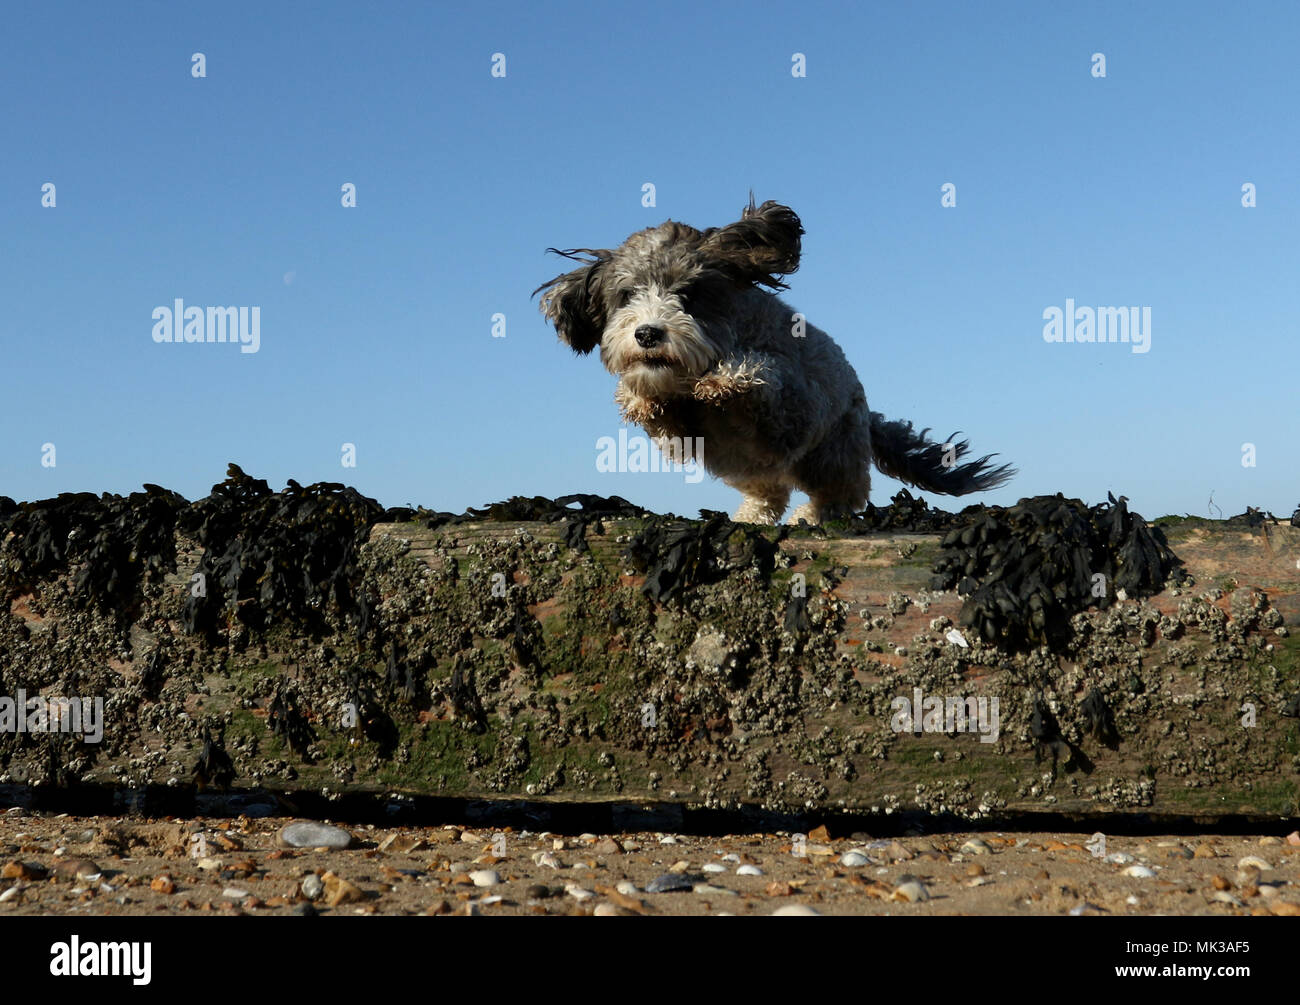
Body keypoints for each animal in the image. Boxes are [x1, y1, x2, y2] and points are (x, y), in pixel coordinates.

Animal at [530, 197, 1013, 525]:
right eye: (627, 295)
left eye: (689, 294)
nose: (648, 333)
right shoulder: (685, 438)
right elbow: (660, 413)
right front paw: (640, 397)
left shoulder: (795, 408)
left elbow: (762, 372)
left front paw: (724, 380)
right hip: (747, 468)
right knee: (772, 492)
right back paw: (752, 515)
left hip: (829, 454)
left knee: (844, 493)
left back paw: (814, 516)